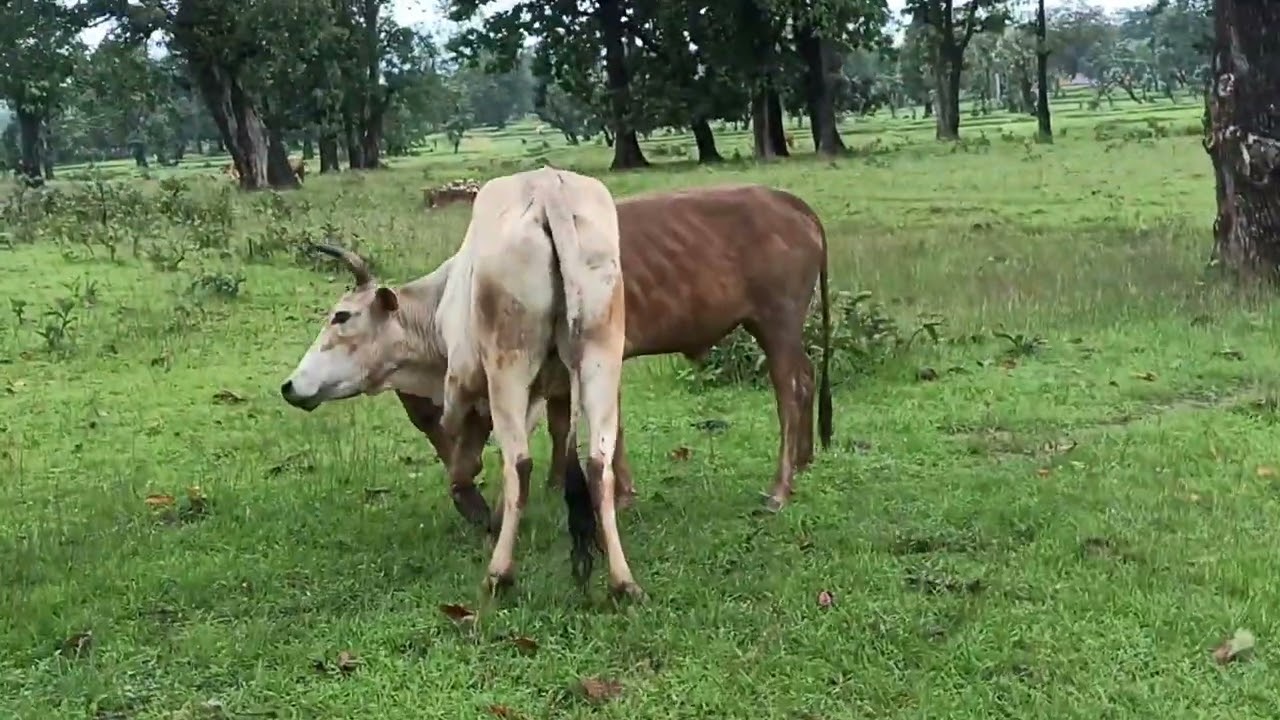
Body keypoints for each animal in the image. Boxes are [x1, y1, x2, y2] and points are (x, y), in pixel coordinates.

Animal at [278, 167, 642, 599]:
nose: (290, 386)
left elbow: (462, 466)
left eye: (341, 316)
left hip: (507, 366)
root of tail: (548, 189)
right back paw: (623, 581)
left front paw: (479, 512)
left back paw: (499, 574)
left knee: (520, 463)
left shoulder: (467, 388)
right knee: (597, 464)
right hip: (599, 356)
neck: (437, 305)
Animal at [395, 183, 834, 525]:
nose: (453, 466)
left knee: (789, 392)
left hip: (778, 322)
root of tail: (787, 201)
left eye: (429, 407)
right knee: (807, 374)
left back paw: (780, 488)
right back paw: (805, 459)